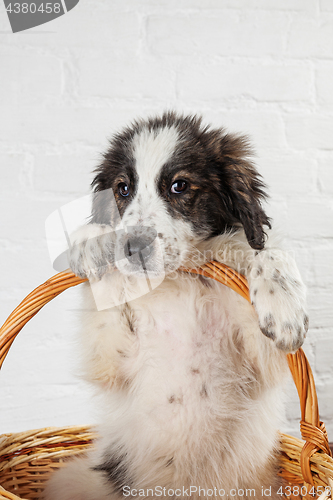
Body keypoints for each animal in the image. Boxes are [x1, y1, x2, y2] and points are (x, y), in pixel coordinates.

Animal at [42, 112, 308, 500]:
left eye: (179, 186)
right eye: (123, 189)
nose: (133, 247)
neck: (181, 282)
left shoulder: (260, 358)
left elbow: (267, 251)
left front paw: (285, 306)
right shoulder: (113, 359)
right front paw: (90, 240)